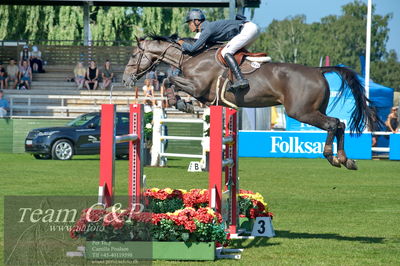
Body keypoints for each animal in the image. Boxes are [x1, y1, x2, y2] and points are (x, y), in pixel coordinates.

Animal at [123, 35, 380, 170]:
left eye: (134, 55)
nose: (125, 80)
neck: (191, 57)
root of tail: (318, 70)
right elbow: (171, 81)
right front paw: (181, 103)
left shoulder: (197, 87)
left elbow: (168, 79)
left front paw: (181, 103)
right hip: (314, 109)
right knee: (339, 124)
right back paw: (345, 159)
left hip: (301, 112)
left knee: (333, 124)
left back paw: (333, 157)